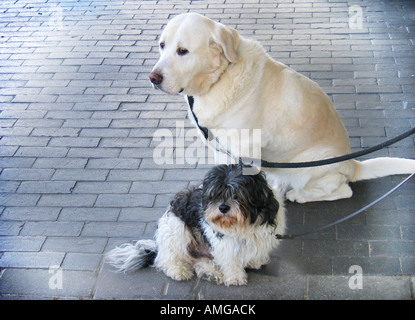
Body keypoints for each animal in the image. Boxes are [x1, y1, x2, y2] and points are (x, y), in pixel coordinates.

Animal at [106, 164, 286, 286]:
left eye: (237, 195)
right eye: (215, 195)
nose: (223, 207)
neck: (244, 225)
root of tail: (158, 246)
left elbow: (256, 253)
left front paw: (255, 262)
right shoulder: (224, 244)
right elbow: (230, 260)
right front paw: (235, 277)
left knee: (199, 260)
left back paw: (210, 272)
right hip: (177, 230)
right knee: (167, 259)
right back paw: (179, 270)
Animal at [150, 13, 415, 202]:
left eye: (183, 51)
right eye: (162, 45)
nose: (153, 78)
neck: (220, 78)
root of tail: (353, 164)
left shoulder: (246, 150)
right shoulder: (220, 147)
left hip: (309, 168)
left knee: (341, 191)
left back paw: (298, 195)